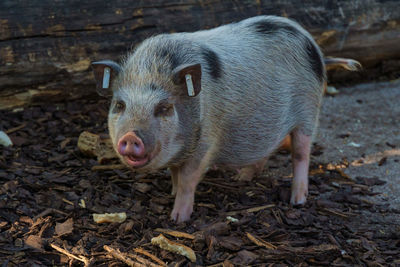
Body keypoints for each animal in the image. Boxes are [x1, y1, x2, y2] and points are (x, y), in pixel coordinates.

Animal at [91, 15, 328, 223]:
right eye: (120, 105)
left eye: (164, 108)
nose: (131, 137)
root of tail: (307, 38)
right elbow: (175, 174)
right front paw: (172, 192)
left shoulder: (206, 143)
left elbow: (188, 179)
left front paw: (178, 219)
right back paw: (242, 178)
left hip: (309, 111)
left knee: (301, 154)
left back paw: (297, 200)